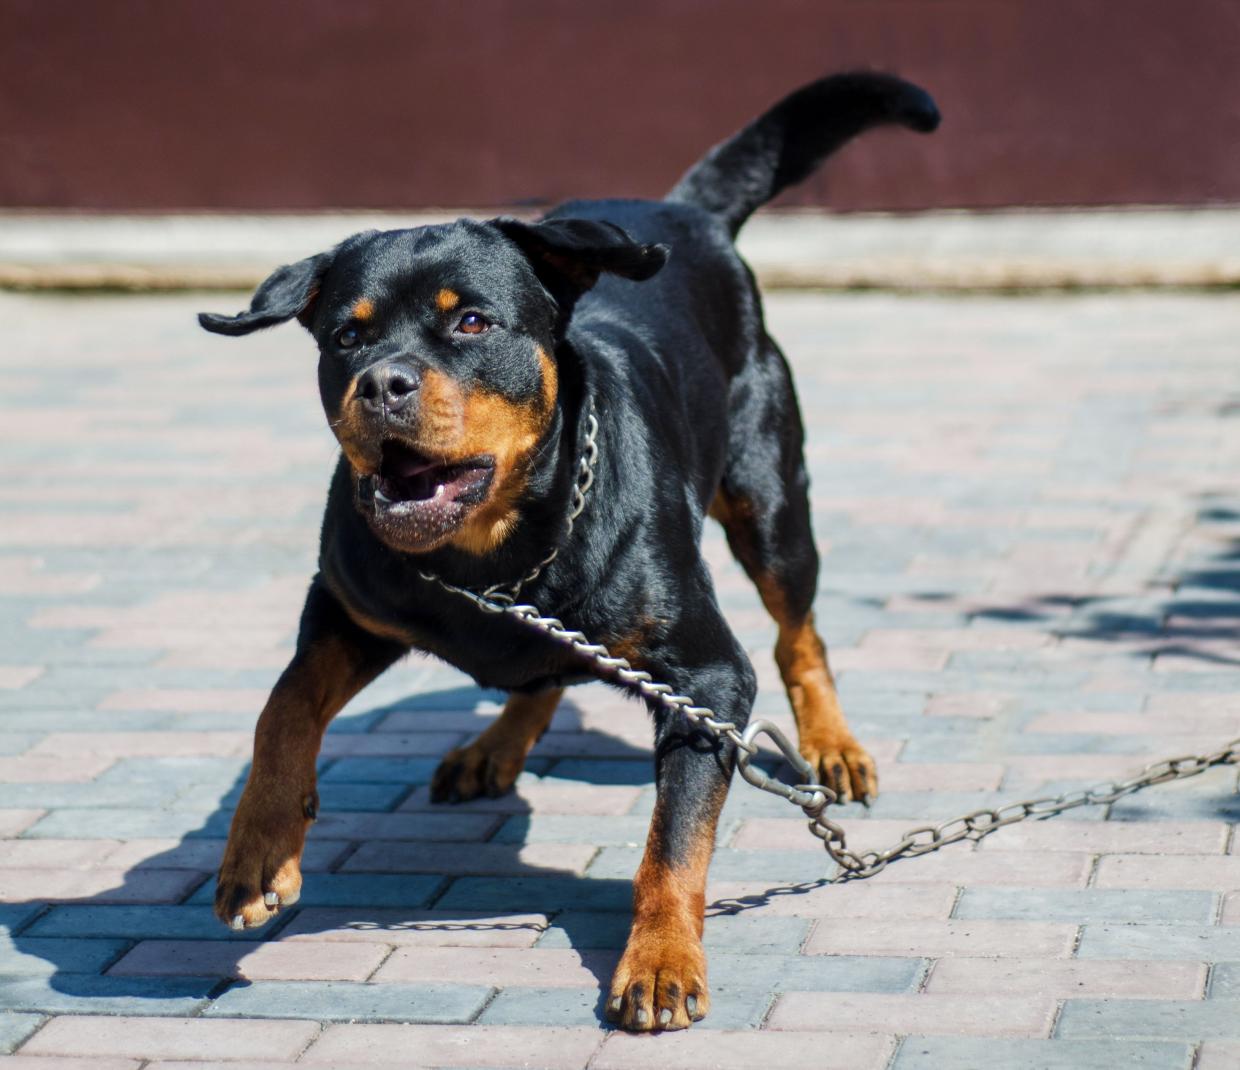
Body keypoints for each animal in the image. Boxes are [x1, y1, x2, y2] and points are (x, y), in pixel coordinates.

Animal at [198, 71, 932, 1031]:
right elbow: (282, 706)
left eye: (473, 323)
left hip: (771, 498)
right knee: (540, 672)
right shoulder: (347, 605)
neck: (491, 555)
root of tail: (681, 210)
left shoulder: (706, 681)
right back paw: (496, 743)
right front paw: (259, 849)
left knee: (797, 630)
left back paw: (834, 744)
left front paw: (660, 959)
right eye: (346, 337)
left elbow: (672, 842)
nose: (382, 384)